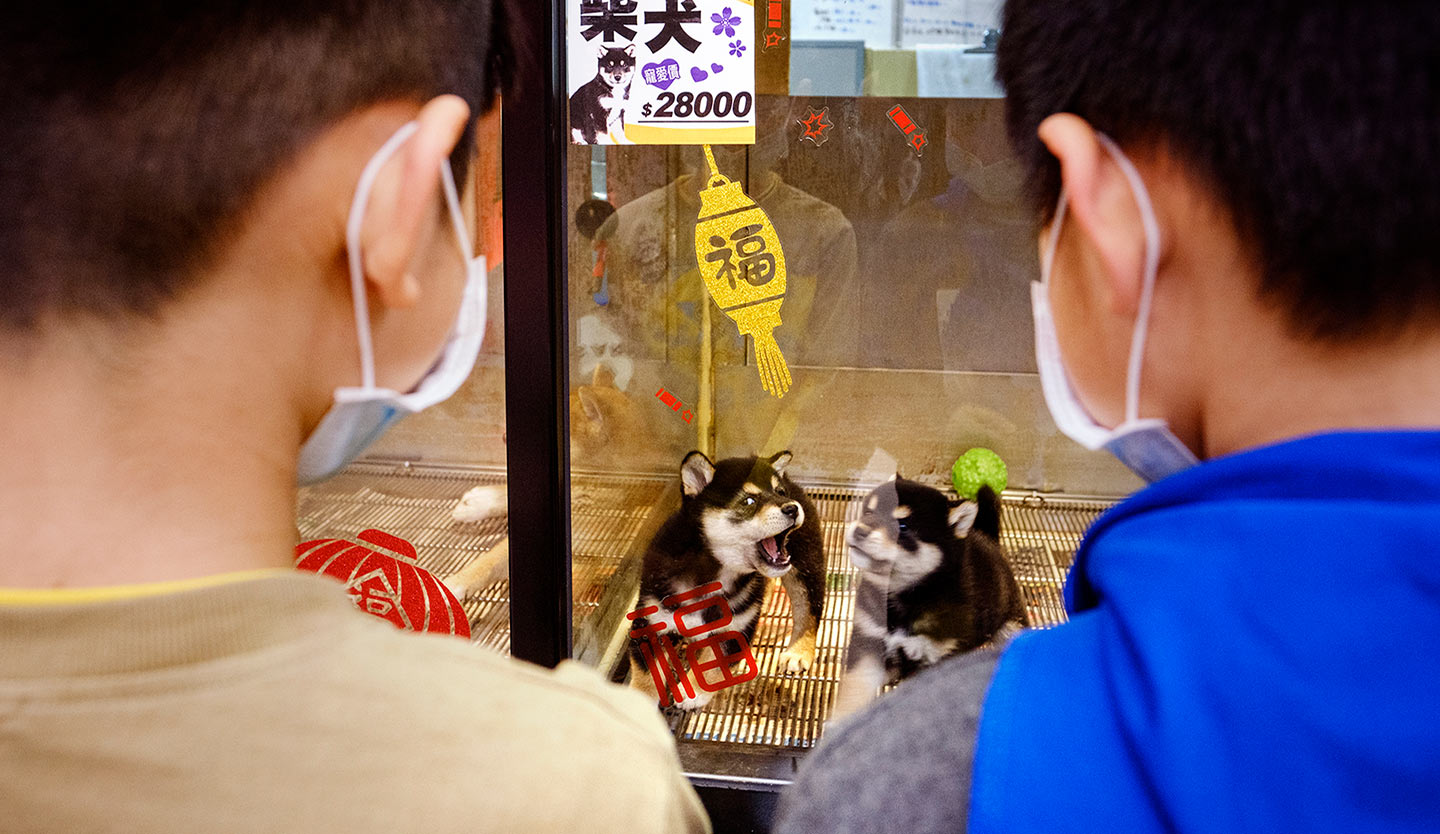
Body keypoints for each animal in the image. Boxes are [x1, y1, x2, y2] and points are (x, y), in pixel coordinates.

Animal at [627, 449, 823, 711]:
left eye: (779, 493)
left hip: (806, 565)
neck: (711, 574)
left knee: (808, 610)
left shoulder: (736, 629)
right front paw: (637, 702)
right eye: (749, 501)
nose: (792, 507)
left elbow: (712, 667)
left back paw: (799, 651)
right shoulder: (650, 621)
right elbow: (646, 674)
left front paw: (693, 692)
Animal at [829, 475, 1031, 717]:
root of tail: (990, 541)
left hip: (1011, 624)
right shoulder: (868, 640)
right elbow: (854, 689)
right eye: (868, 511)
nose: (860, 530)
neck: (906, 597)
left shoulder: (937, 657)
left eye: (903, 526)